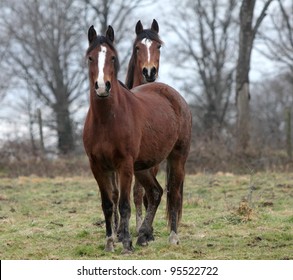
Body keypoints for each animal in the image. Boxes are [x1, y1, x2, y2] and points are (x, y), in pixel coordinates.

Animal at [82, 25, 192, 253]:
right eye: (90, 57)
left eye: (113, 57)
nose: (102, 86)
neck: (106, 119)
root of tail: (174, 95)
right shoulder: (97, 166)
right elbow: (108, 204)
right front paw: (110, 242)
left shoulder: (124, 165)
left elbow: (125, 204)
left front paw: (126, 243)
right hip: (142, 167)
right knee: (156, 192)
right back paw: (143, 234)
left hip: (177, 158)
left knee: (173, 194)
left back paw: (172, 237)